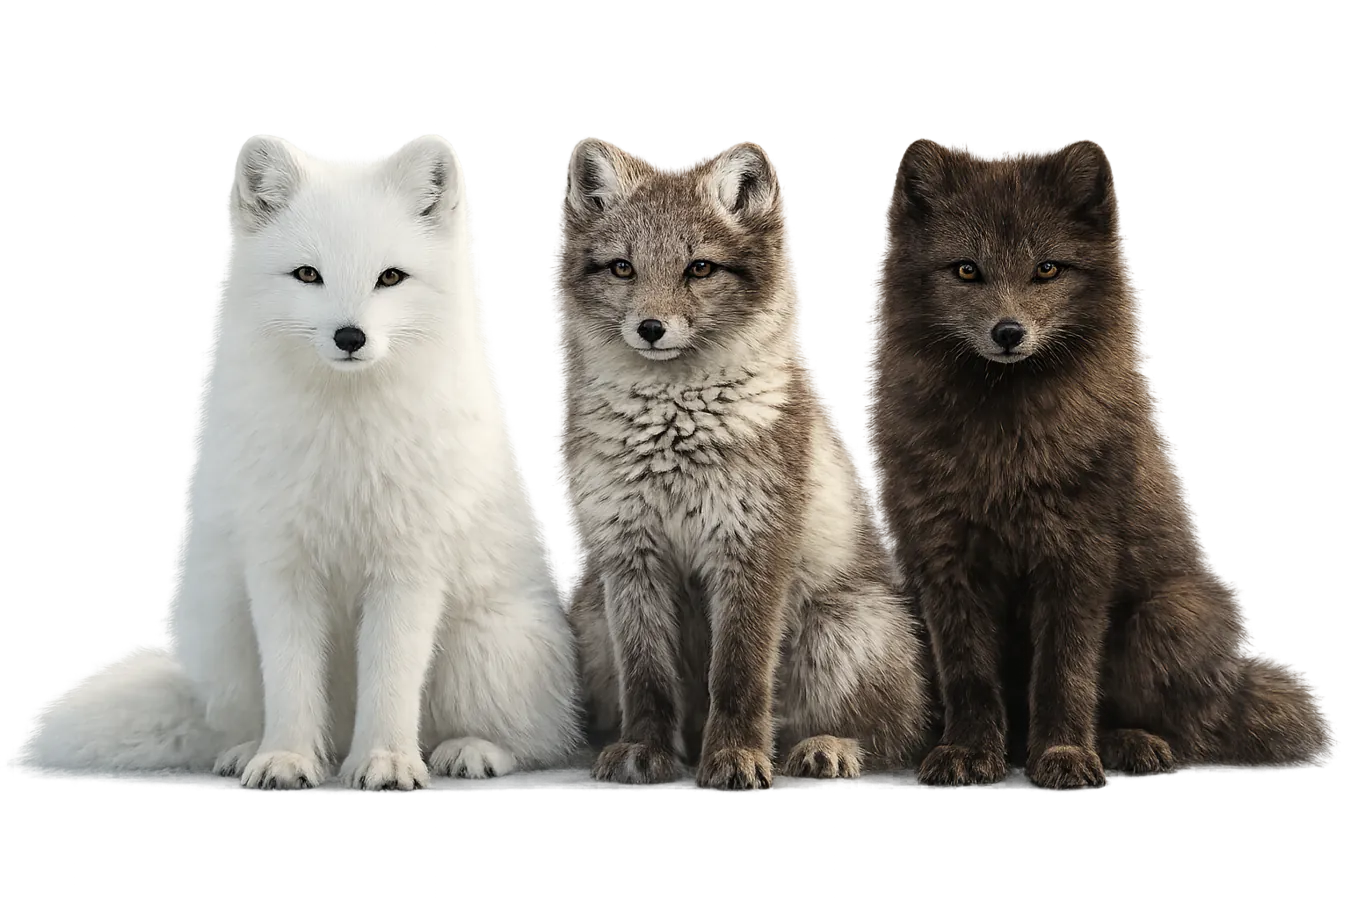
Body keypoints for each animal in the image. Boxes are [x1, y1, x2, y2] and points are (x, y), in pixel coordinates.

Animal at [28, 133, 582, 789]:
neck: (344, 442)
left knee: (539, 739)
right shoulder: (279, 564)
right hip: (228, 632)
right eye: (308, 274)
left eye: (390, 277)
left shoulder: (409, 568)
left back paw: (470, 750)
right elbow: (291, 681)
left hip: (491, 645)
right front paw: (286, 758)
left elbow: (392, 678)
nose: (350, 337)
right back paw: (254, 749)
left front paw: (387, 760)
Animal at [558, 138, 932, 791]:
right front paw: (646, 751)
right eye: (624, 268)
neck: (673, 431)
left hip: (840, 627)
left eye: (699, 269)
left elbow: (739, 674)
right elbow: (648, 680)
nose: (650, 328)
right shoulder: (630, 555)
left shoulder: (751, 547)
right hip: (593, 613)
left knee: (893, 740)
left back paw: (826, 748)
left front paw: (735, 754)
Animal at [864, 137, 1327, 790]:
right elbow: (969, 675)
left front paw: (1064, 754)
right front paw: (968, 753)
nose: (1009, 332)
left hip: (1167, 617)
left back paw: (1127, 744)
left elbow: (1065, 672)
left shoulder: (1077, 557)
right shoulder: (945, 561)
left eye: (1048, 269)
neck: (1005, 440)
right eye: (966, 270)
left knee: (1190, 731)